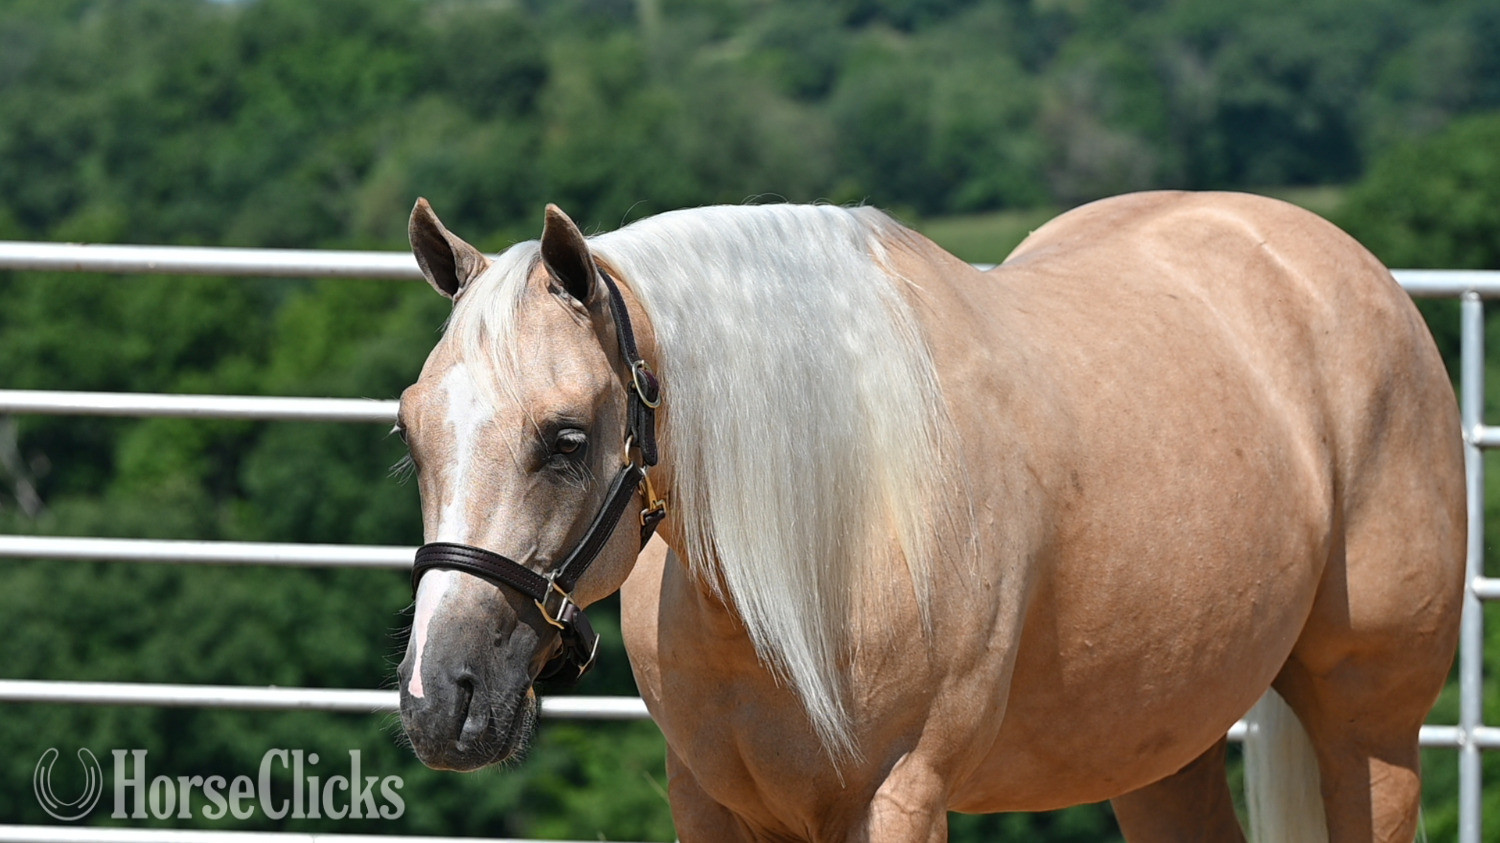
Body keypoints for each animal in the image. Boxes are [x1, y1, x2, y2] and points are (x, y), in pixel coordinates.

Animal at [394, 191, 1464, 842]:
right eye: (410, 429)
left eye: (567, 438)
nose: (441, 698)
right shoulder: (710, 800)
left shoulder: (902, 794)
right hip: (1162, 745)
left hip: (1370, 729)